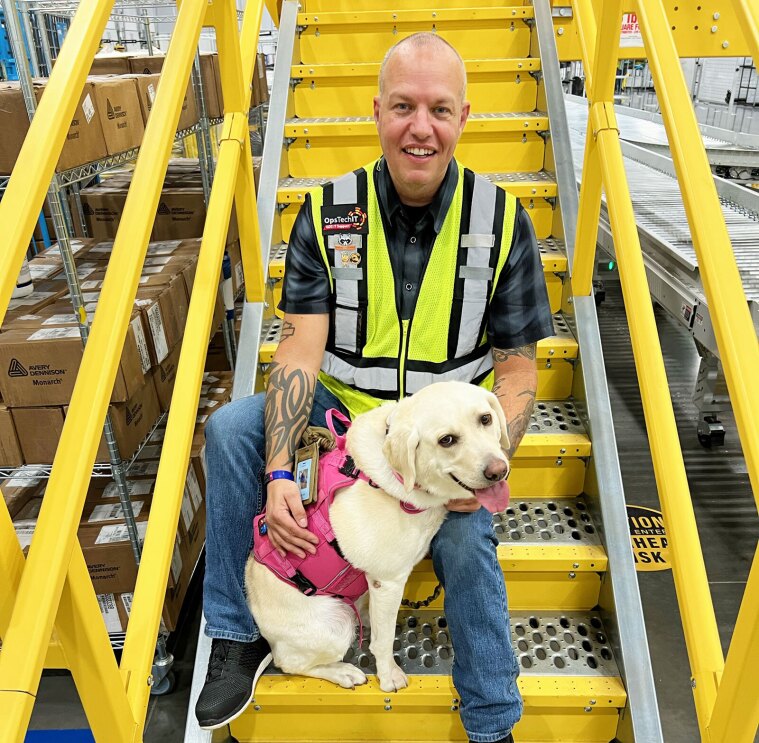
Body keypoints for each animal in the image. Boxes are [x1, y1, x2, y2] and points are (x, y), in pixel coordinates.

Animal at [246, 380, 512, 696]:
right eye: (446, 440)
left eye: (485, 419)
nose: (499, 471)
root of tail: (269, 639)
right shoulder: (388, 581)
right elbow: (383, 643)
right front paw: (388, 676)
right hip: (336, 624)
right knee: (290, 663)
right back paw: (343, 671)